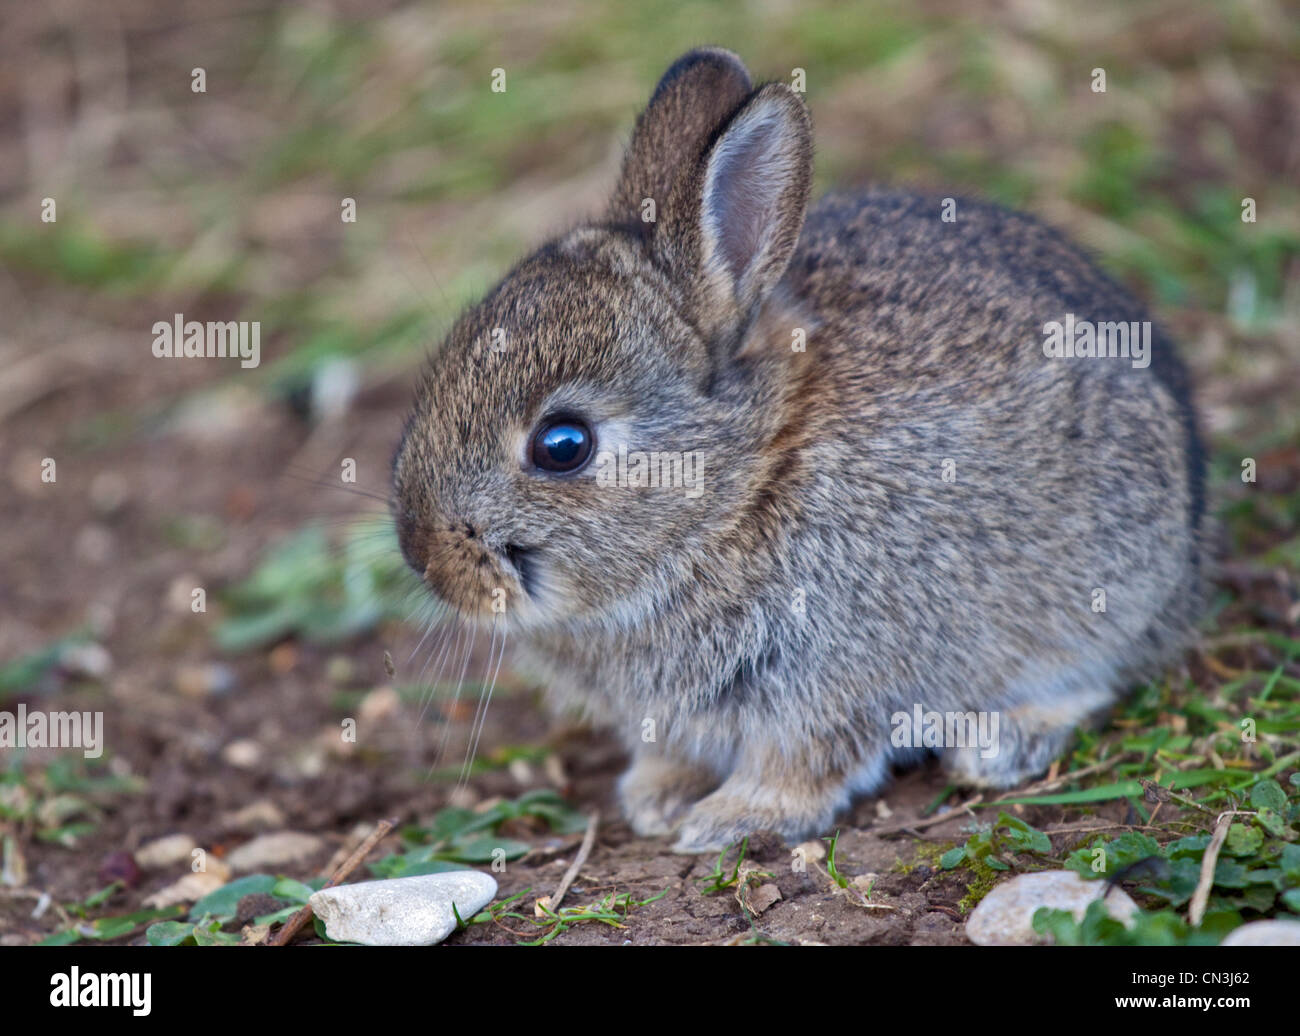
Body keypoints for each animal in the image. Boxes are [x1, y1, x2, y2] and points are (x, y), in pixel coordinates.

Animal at [391, 47, 1208, 853]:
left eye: (563, 445)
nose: (424, 558)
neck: (743, 484)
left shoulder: (831, 675)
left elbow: (807, 760)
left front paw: (734, 818)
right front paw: (657, 796)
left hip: (1107, 587)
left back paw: (1003, 742)